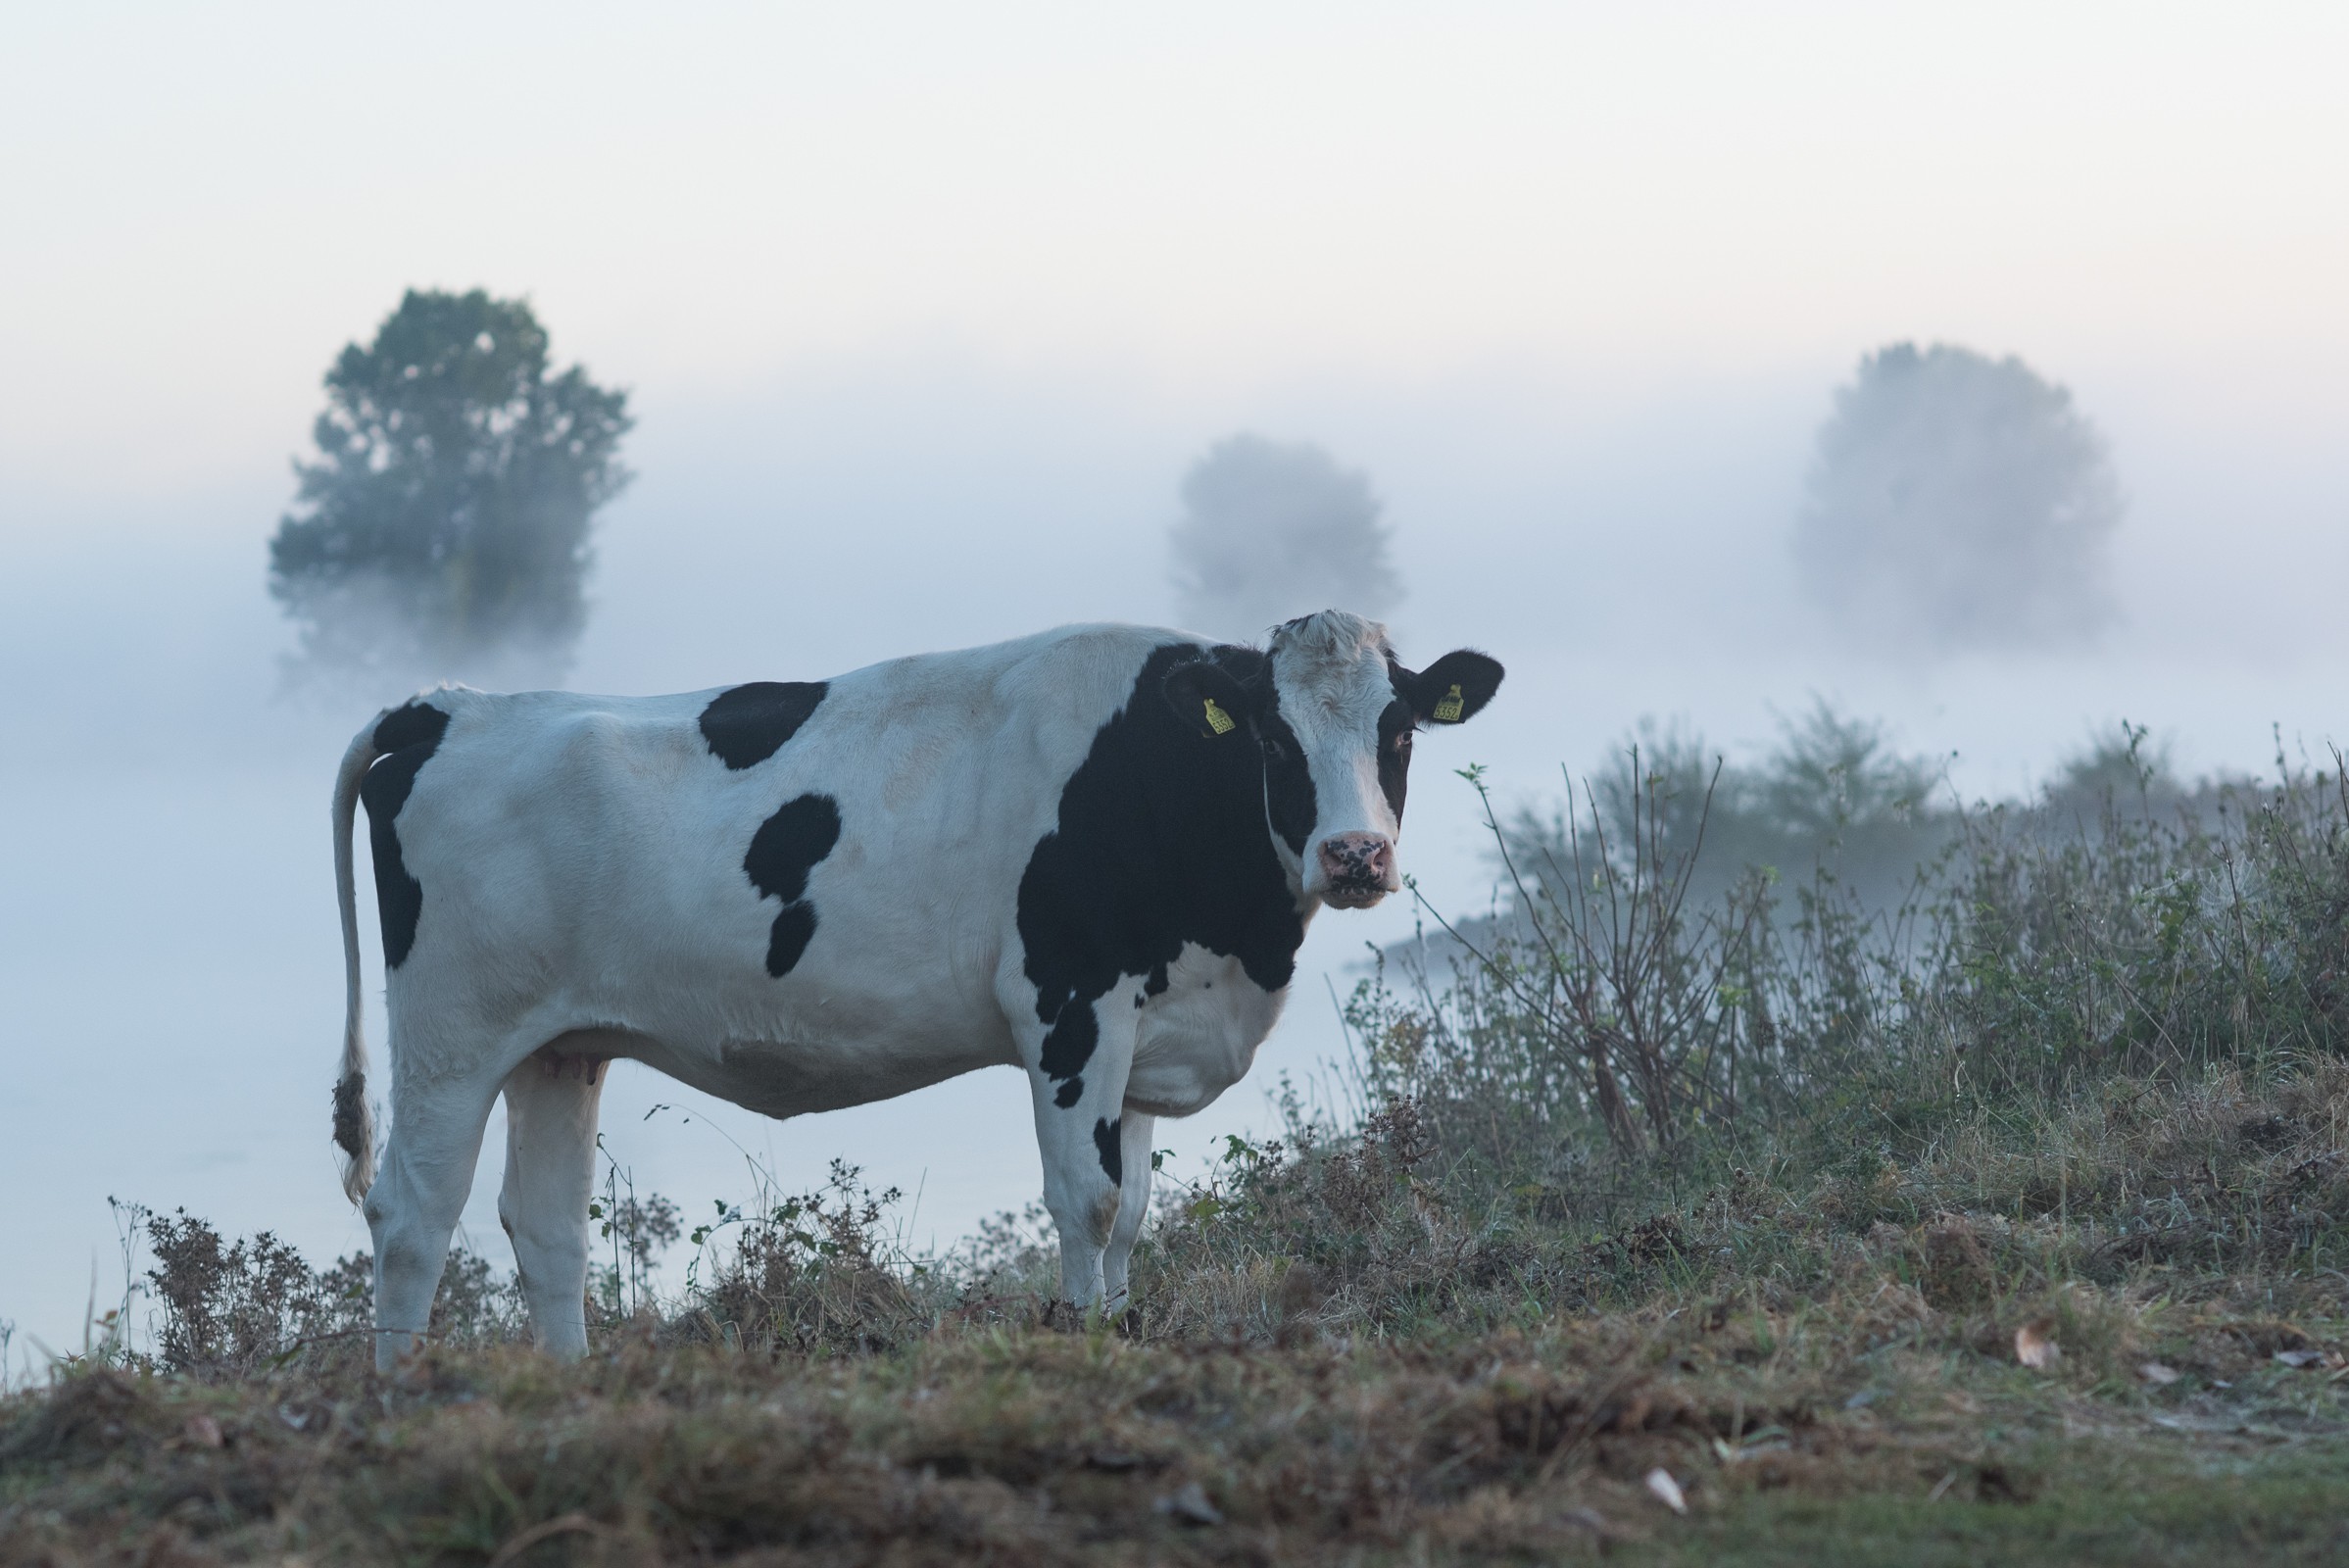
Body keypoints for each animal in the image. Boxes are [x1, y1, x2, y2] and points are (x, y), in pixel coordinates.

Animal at [328, 610, 1502, 1366]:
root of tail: (449, 705)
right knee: (414, 1215)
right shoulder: (1068, 1006)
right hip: (451, 1029)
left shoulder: (1144, 1028)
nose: (1355, 855)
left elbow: (1133, 1213)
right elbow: (1087, 1200)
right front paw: (1084, 1349)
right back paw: (398, 1403)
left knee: (546, 1227)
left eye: (1399, 729)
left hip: (558, 1044)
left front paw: (1123, 1336)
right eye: (1272, 735)